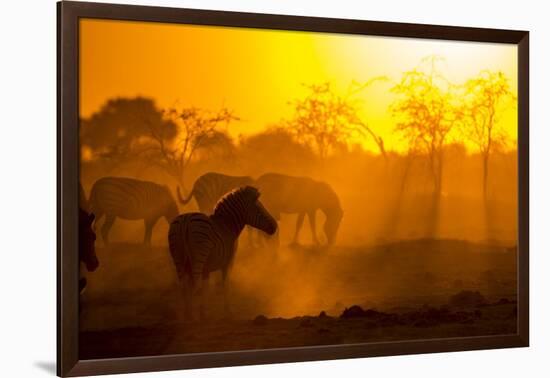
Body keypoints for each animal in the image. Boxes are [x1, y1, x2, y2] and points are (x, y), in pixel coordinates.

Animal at [168, 185, 278, 318]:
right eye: (259, 209)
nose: (275, 227)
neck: (227, 226)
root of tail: (186, 221)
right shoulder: (228, 261)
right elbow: (225, 285)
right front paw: (228, 311)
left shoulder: (206, 267)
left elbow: (205, 288)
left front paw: (203, 313)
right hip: (198, 257)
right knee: (193, 286)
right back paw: (190, 317)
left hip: (178, 258)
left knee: (183, 288)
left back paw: (186, 315)